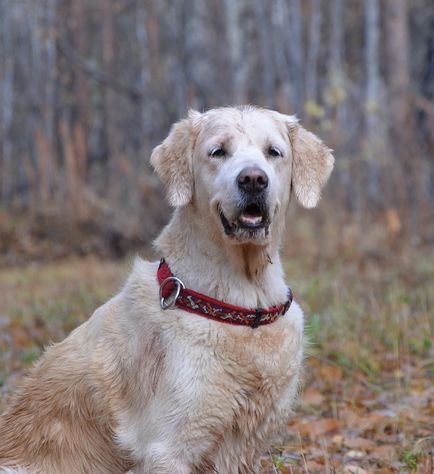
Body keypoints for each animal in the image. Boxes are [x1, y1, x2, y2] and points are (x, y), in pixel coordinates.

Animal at [0, 105, 336, 472]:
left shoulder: (243, 446)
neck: (242, 300)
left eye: (273, 152)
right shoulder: (169, 448)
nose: (252, 179)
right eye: (218, 152)